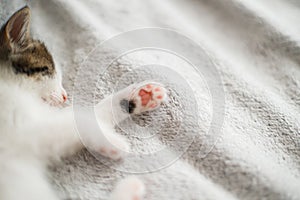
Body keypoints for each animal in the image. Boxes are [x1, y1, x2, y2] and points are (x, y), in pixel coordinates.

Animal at [0, 6, 166, 200]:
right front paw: (111, 141)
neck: (9, 86)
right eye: (49, 71)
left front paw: (140, 96)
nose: (65, 96)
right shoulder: (23, 128)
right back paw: (130, 187)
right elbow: (79, 118)